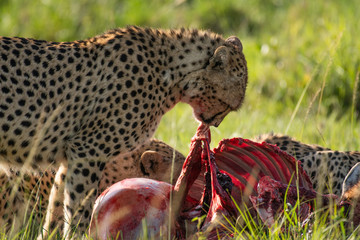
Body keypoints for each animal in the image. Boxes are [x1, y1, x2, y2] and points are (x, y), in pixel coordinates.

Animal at [0, 25, 248, 236]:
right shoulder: (88, 151)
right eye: (228, 105)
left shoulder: (71, 157)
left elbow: (58, 205)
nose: (216, 123)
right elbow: (78, 207)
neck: (173, 72)